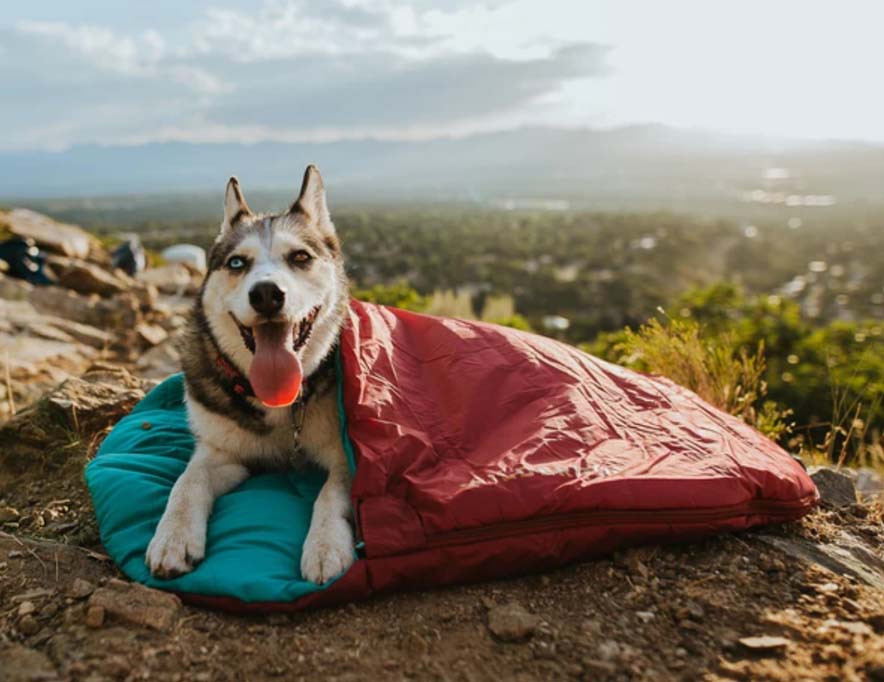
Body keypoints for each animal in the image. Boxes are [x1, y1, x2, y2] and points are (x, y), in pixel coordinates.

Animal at [143, 166, 354, 584]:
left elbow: (332, 493)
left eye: (300, 257)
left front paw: (326, 544)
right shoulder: (221, 453)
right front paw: (173, 535)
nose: (268, 294)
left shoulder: (345, 458)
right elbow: (186, 482)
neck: (277, 400)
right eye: (237, 263)